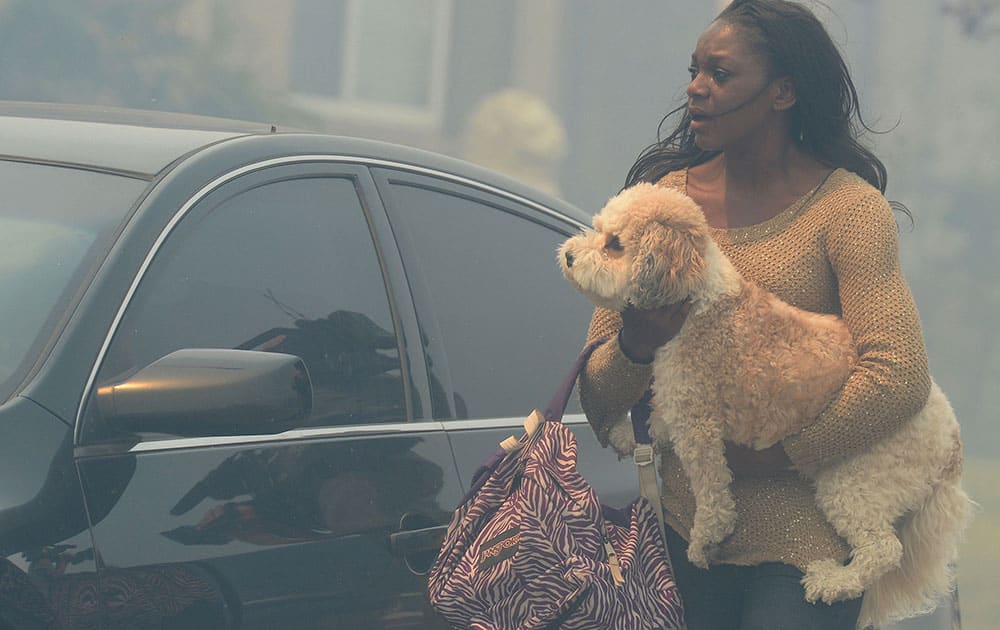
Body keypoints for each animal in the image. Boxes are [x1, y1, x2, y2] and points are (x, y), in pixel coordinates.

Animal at [560, 181, 972, 628]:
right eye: (599, 230)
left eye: (615, 244)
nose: (569, 256)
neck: (699, 296)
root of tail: (949, 438)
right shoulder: (677, 397)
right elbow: (656, 422)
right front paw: (624, 433)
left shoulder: (698, 423)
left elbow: (712, 493)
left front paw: (705, 541)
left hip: (852, 480)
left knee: (882, 549)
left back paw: (832, 581)